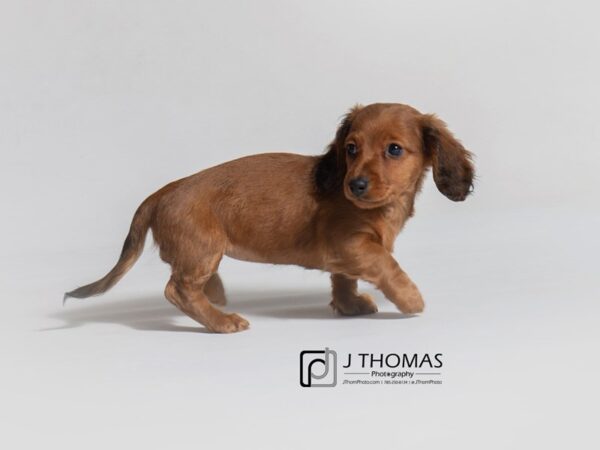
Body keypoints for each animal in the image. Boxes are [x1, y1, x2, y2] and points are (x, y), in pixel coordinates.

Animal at [65, 103, 476, 332]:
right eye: (351, 148)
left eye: (394, 149)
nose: (355, 185)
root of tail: (163, 192)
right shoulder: (353, 244)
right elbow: (388, 265)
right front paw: (410, 299)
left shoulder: (345, 254)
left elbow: (344, 279)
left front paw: (349, 307)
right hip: (203, 249)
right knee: (177, 289)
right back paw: (221, 321)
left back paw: (217, 294)